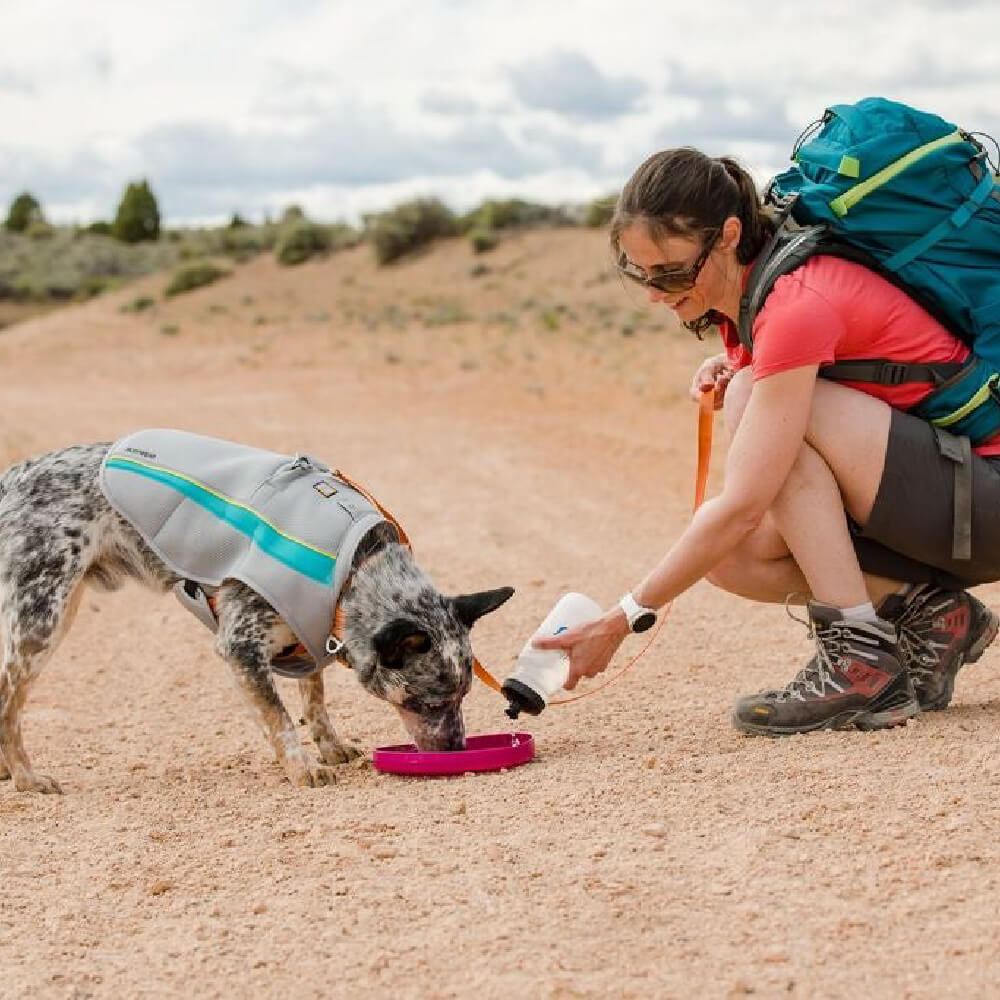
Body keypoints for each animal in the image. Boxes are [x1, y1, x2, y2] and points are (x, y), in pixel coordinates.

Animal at [0, 442, 516, 792]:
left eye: (464, 696)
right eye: (426, 703)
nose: (458, 752)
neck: (352, 569)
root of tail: (13, 475)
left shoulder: (310, 627)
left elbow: (315, 700)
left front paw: (329, 746)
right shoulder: (240, 647)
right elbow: (280, 718)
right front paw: (303, 766)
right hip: (42, 619)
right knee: (8, 700)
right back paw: (26, 777)